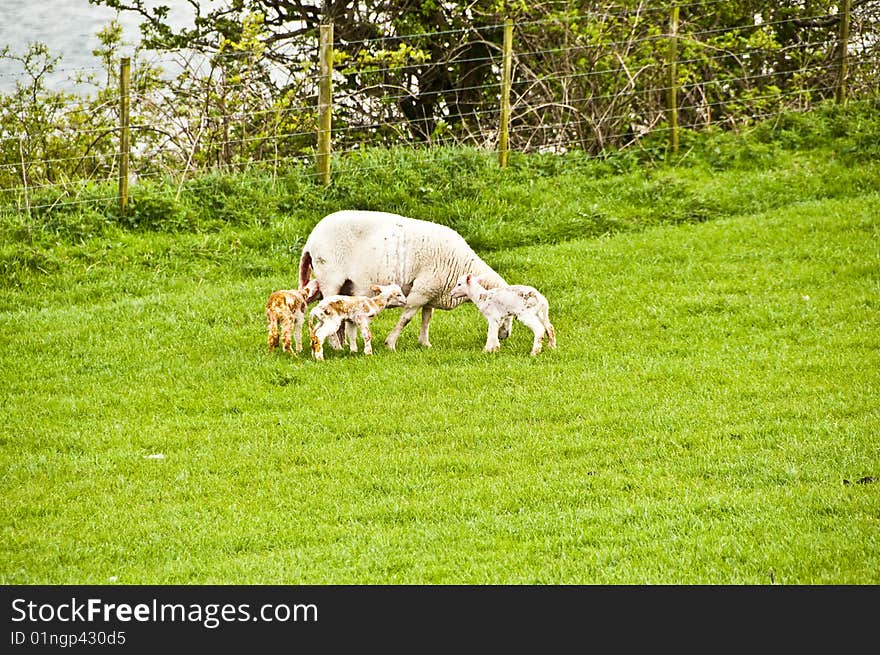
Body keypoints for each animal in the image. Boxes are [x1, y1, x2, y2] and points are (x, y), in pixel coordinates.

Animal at [300, 213, 512, 352]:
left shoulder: (431, 291)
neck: (460, 264)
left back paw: (343, 344)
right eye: (506, 314)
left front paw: (424, 343)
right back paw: (336, 346)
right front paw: (390, 344)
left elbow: (427, 318)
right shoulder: (421, 291)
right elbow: (406, 318)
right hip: (330, 278)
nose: (506, 335)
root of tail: (311, 240)